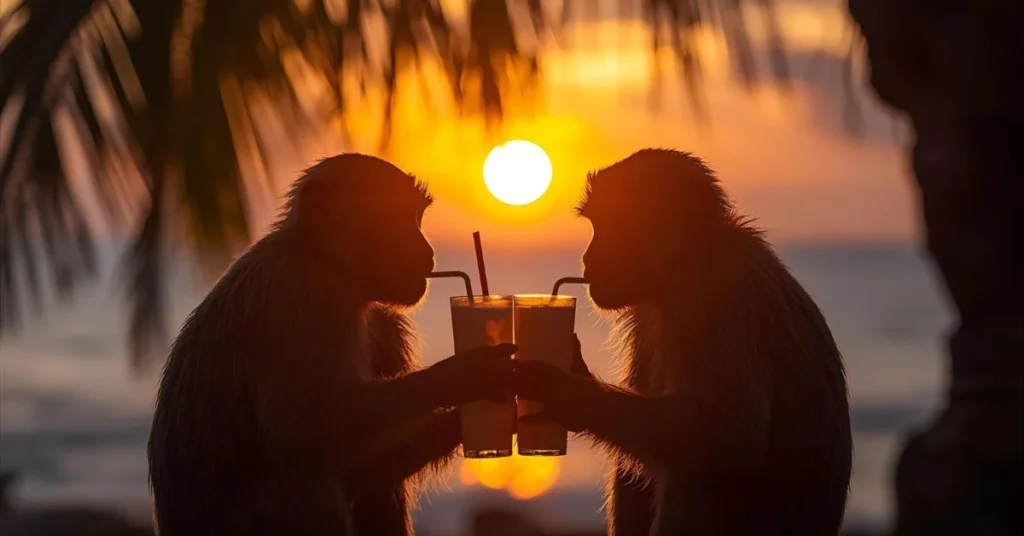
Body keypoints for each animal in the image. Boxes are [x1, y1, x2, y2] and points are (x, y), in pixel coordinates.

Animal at [148, 153, 517, 536]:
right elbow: (305, 427)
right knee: (306, 474)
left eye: (417, 216)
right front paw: (461, 376)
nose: (428, 252)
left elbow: (364, 466)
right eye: (395, 217)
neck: (324, 260)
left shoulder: (384, 324)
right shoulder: (302, 291)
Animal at [516, 149, 852, 535]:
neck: (687, 255)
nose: (587, 259)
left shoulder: (704, 289)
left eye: (610, 224)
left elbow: (728, 436)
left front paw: (570, 394)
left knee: (701, 473)